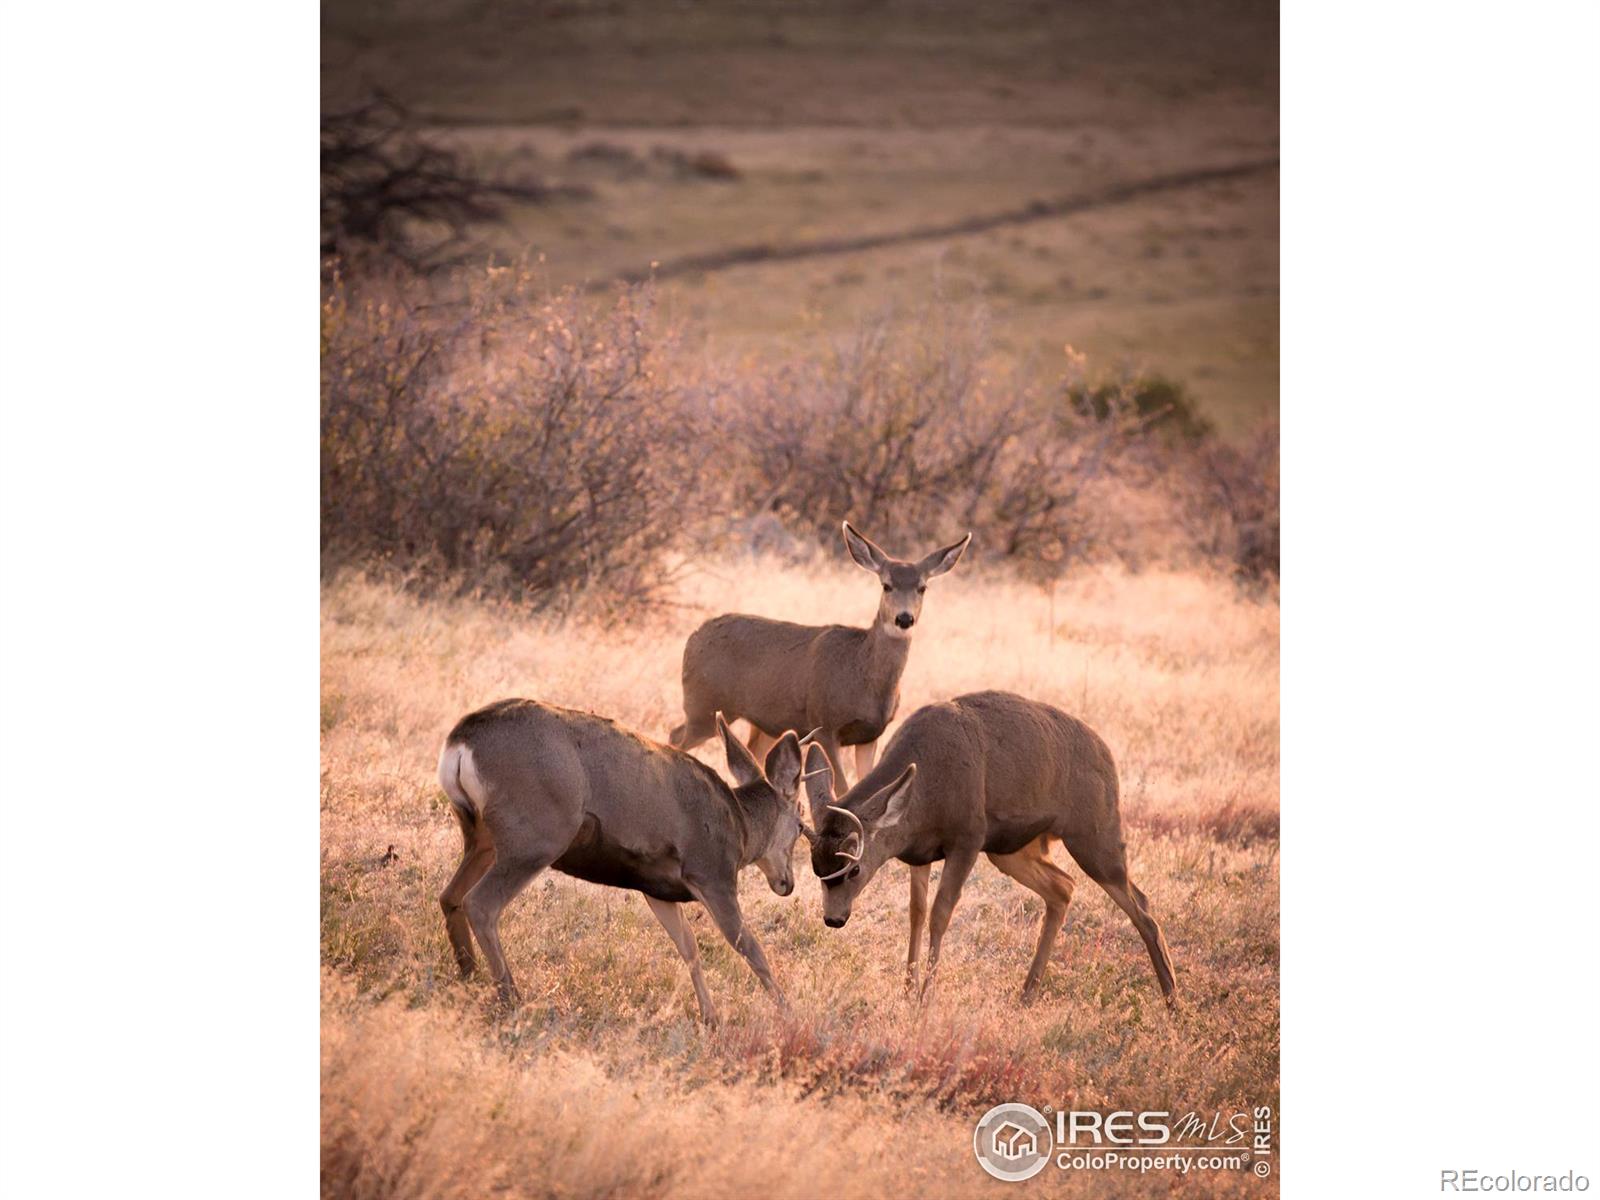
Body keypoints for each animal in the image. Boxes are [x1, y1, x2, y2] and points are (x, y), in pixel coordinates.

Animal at [438, 704, 812, 1024]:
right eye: (800, 824)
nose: (787, 884)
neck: (741, 827)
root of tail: (459, 743)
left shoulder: (658, 888)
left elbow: (688, 947)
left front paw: (711, 1017)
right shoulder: (712, 872)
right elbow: (749, 947)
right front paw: (789, 1014)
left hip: (481, 835)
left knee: (450, 896)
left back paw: (468, 977)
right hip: (535, 834)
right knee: (480, 902)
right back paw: (511, 997)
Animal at [668, 518, 966, 784]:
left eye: (922, 588)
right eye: (886, 585)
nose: (904, 619)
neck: (862, 674)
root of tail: (692, 638)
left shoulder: (870, 735)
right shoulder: (824, 723)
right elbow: (842, 787)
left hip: (762, 722)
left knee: (752, 755)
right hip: (704, 705)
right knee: (675, 737)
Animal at [800, 691, 1177, 1011]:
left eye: (854, 869)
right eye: (816, 865)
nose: (833, 919)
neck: (926, 793)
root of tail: (1107, 753)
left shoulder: (968, 836)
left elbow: (940, 913)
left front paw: (926, 996)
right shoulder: (918, 851)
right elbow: (916, 912)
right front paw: (907, 990)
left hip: (1095, 834)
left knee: (1142, 906)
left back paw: (1173, 1000)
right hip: (1012, 850)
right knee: (1063, 888)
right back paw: (1027, 993)